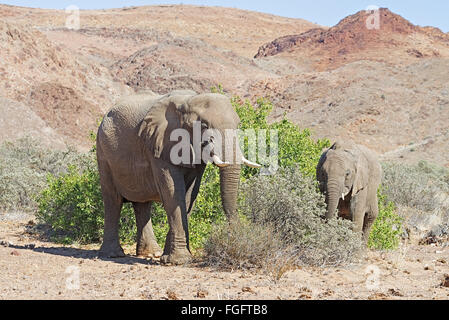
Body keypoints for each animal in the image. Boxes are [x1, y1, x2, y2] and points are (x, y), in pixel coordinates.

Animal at [97, 90, 260, 264]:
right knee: (113, 201)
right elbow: (173, 193)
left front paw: (170, 258)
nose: (236, 238)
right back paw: (112, 254)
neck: (187, 102)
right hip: (103, 153)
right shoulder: (160, 145)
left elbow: (189, 196)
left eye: (238, 125)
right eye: (204, 126)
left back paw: (152, 253)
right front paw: (179, 260)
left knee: (142, 204)